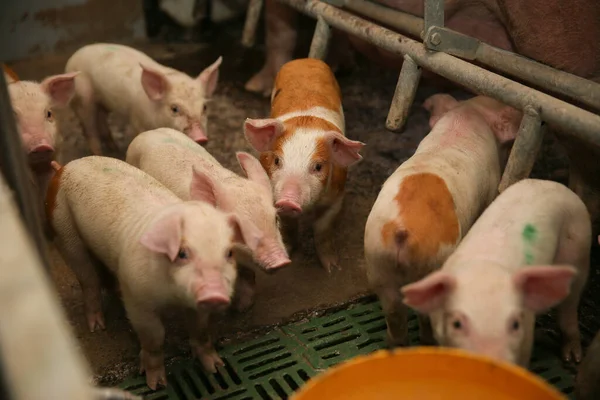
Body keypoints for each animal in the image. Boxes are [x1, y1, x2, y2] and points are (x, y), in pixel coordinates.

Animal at [47, 156, 262, 390]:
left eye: (229, 252)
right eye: (182, 253)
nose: (215, 292)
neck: (174, 297)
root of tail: (65, 166)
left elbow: (200, 329)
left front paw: (216, 367)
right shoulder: (138, 300)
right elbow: (155, 337)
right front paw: (157, 385)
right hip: (62, 229)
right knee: (87, 279)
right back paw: (97, 327)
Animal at [64, 43, 223, 155]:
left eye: (204, 107)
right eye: (174, 108)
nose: (201, 138)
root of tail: (72, 58)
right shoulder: (136, 120)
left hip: (103, 102)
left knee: (102, 120)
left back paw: (115, 149)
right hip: (82, 97)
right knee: (89, 128)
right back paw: (101, 154)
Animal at [364, 94, 524, 346]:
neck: (465, 118)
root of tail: (401, 231)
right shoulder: (490, 187)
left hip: (377, 264)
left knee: (395, 317)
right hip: (432, 266)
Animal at [404, 180, 592, 368]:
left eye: (515, 324)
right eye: (457, 324)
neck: (484, 270)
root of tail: (555, 184)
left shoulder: (526, 339)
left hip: (579, 250)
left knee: (570, 305)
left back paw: (573, 359)